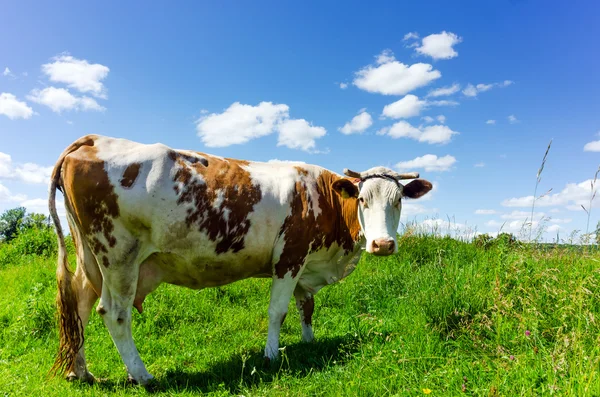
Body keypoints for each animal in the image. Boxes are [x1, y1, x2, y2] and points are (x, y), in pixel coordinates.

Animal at [48, 133, 432, 384]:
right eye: (363, 199)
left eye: (398, 200)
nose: (383, 244)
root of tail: (93, 139)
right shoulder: (290, 257)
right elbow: (278, 311)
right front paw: (271, 355)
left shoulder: (305, 264)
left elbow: (306, 306)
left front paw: (308, 342)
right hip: (118, 255)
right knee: (114, 313)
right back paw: (143, 376)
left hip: (90, 258)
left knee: (80, 305)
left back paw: (80, 372)